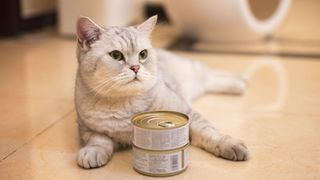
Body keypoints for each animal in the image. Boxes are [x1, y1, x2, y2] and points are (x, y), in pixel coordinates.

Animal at [75, 15, 250, 169]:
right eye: (116, 55)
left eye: (143, 54)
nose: (136, 68)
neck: (126, 104)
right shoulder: (87, 130)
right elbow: (99, 140)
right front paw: (93, 152)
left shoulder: (188, 113)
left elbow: (209, 132)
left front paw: (228, 144)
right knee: (210, 79)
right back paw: (240, 83)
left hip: (191, 71)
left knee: (210, 73)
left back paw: (241, 82)